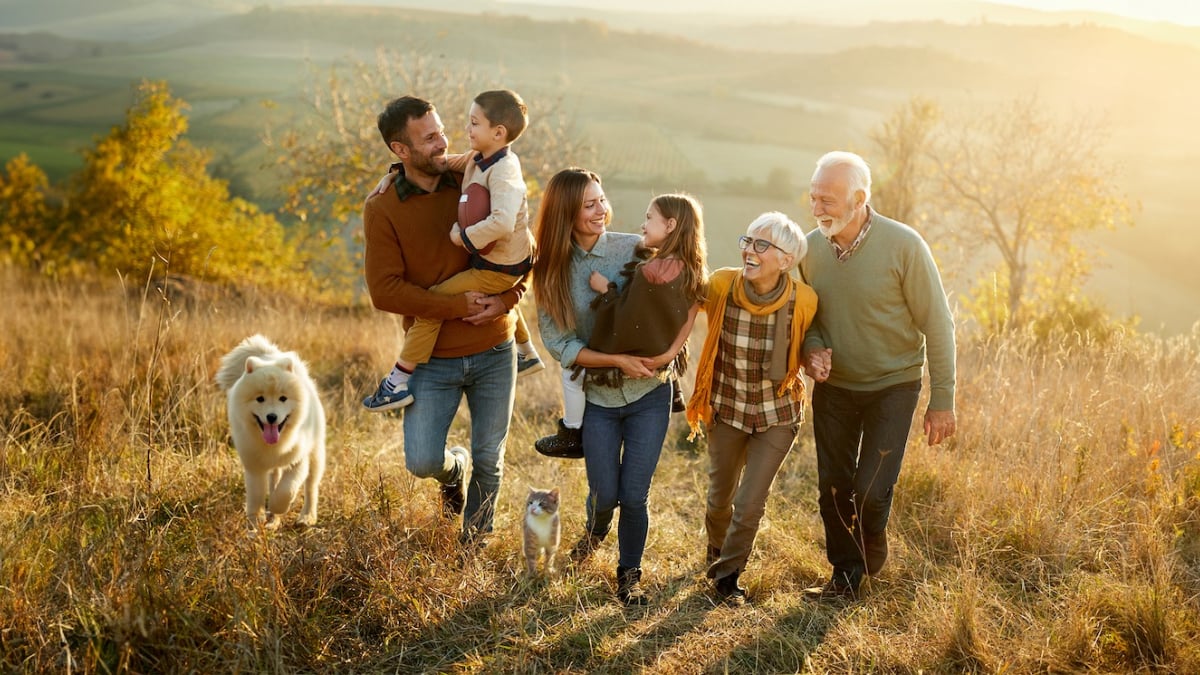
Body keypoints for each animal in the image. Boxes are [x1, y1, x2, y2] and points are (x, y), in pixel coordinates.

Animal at [216, 333, 326, 528]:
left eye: (283, 398)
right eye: (260, 399)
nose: (272, 417)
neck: (274, 446)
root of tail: (270, 356)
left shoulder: (299, 460)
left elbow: (286, 490)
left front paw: (277, 506)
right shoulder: (254, 466)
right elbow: (256, 496)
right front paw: (256, 522)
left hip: (316, 453)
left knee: (311, 487)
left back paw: (307, 517)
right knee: (275, 480)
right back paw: (273, 522)